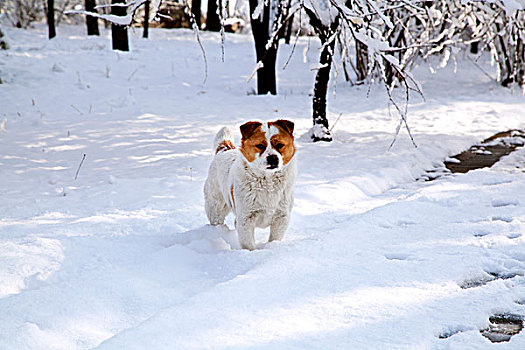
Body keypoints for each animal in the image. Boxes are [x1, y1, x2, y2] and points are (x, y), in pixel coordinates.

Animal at [204, 119, 296, 250]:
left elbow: (274, 239)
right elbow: (249, 244)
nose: (273, 158)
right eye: (260, 146)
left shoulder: (282, 217)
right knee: (216, 218)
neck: (268, 183)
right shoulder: (245, 219)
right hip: (216, 206)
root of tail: (224, 150)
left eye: (279, 145)